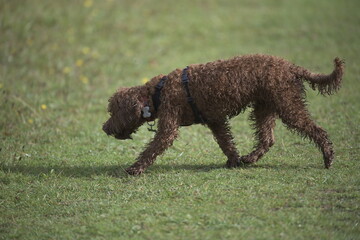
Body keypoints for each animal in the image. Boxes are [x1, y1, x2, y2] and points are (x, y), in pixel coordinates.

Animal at [102, 54, 344, 174]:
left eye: (113, 111)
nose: (104, 128)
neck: (157, 92)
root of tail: (291, 67)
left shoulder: (169, 126)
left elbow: (151, 149)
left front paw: (135, 168)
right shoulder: (215, 120)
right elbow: (226, 142)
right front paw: (234, 160)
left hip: (288, 106)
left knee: (317, 130)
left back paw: (328, 157)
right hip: (264, 107)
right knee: (267, 138)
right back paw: (250, 158)